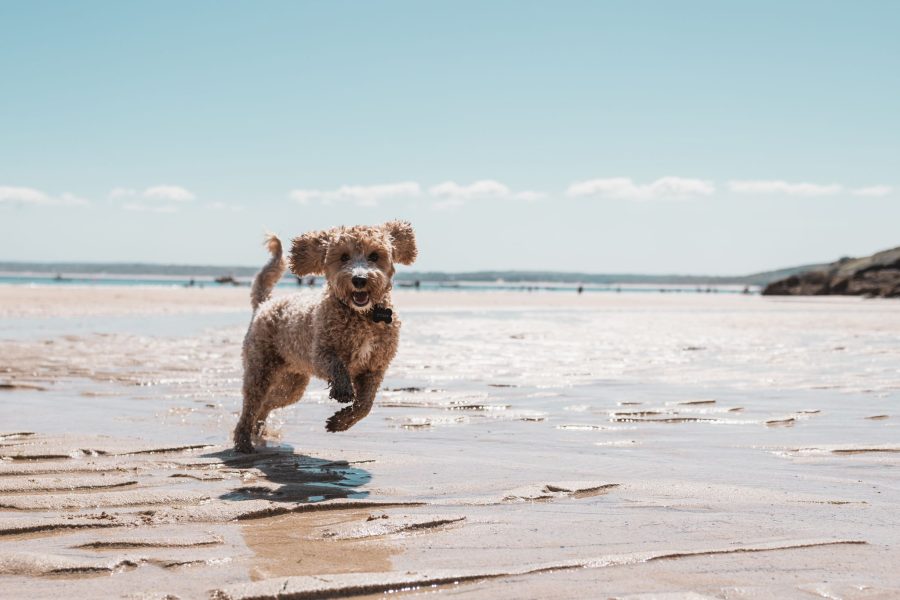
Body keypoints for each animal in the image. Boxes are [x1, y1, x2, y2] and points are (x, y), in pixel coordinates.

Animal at [230, 223, 416, 452]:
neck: (362, 315)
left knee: (265, 405)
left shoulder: (375, 368)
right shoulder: (320, 352)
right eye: (344, 257)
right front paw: (343, 389)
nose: (359, 280)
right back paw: (243, 442)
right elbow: (337, 365)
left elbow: (365, 406)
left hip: (292, 385)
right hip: (259, 371)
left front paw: (340, 422)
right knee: (250, 407)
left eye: (374, 256)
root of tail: (265, 304)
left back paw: (258, 432)